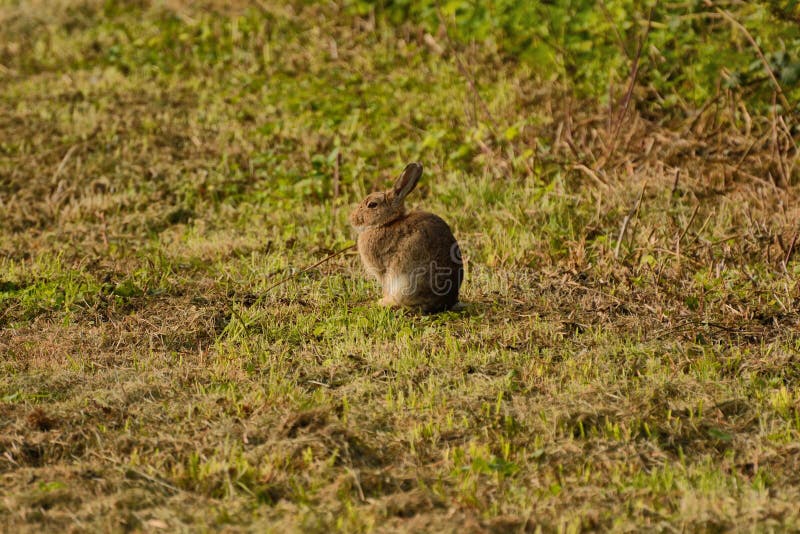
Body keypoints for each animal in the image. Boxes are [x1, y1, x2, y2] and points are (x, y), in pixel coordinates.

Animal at [349, 162, 463, 313]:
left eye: (372, 205)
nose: (352, 218)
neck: (386, 223)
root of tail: (444, 301)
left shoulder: (383, 271)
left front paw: (382, 301)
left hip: (407, 280)